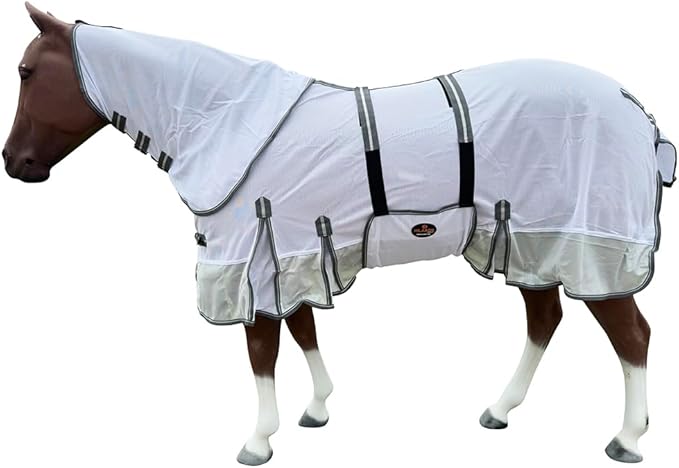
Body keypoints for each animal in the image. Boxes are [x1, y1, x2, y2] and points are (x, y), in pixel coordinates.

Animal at [4, 3, 675, 465]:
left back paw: (626, 438)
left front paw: (257, 441)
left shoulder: (256, 261)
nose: (16, 164)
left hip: (585, 245)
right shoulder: (294, 252)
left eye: (27, 71)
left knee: (631, 336)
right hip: (532, 240)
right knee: (545, 321)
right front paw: (318, 408)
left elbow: (262, 350)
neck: (219, 118)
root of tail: (635, 111)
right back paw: (499, 410)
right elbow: (303, 330)